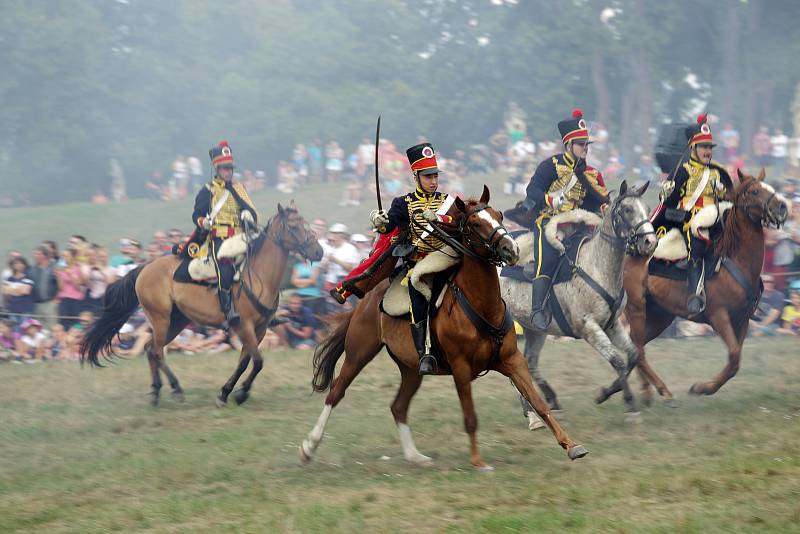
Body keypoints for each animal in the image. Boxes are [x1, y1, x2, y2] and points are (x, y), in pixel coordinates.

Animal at [79, 204, 322, 406]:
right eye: (293, 226)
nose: (319, 252)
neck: (258, 275)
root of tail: (145, 267)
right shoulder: (244, 326)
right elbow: (257, 361)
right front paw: (238, 393)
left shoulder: (260, 329)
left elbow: (245, 361)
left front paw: (228, 392)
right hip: (160, 318)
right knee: (156, 351)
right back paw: (175, 388)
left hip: (177, 321)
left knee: (150, 349)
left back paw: (156, 391)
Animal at [300, 186, 588, 472]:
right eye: (475, 223)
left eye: (499, 215)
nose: (511, 248)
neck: (481, 304)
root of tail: (368, 299)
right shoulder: (461, 368)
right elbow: (470, 416)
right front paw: (478, 461)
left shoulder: (512, 360)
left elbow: (539, 403)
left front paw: (572, 446)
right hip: (359, 353)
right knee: (336, 392)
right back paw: (309, 447)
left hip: (411, 368)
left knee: (398, 407)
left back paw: (415, 456)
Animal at [500, 182, 656, 430]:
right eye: (628, 209)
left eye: (647, 208)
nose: (650, 242)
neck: (596, 266)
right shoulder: (588, 328)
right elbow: (618, 361)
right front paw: (630, 408)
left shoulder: (612, 325)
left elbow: (632, 356)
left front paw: (604, 393)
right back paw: (534, 414)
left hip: (535, 329)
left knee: (529, 364)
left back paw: (544, 407)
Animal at [596, 169, 792, 406]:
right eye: (754, 191)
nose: (782, 207)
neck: (734, 260)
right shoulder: (719, 317)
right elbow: (734, 355)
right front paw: (702, 388)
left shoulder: (742, 321)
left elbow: (734, 362)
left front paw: (703, 387)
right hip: (636, 308)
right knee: (639, 352)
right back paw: (661, 391)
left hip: (660, 316)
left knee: (635, 348)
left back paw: (625, 391)